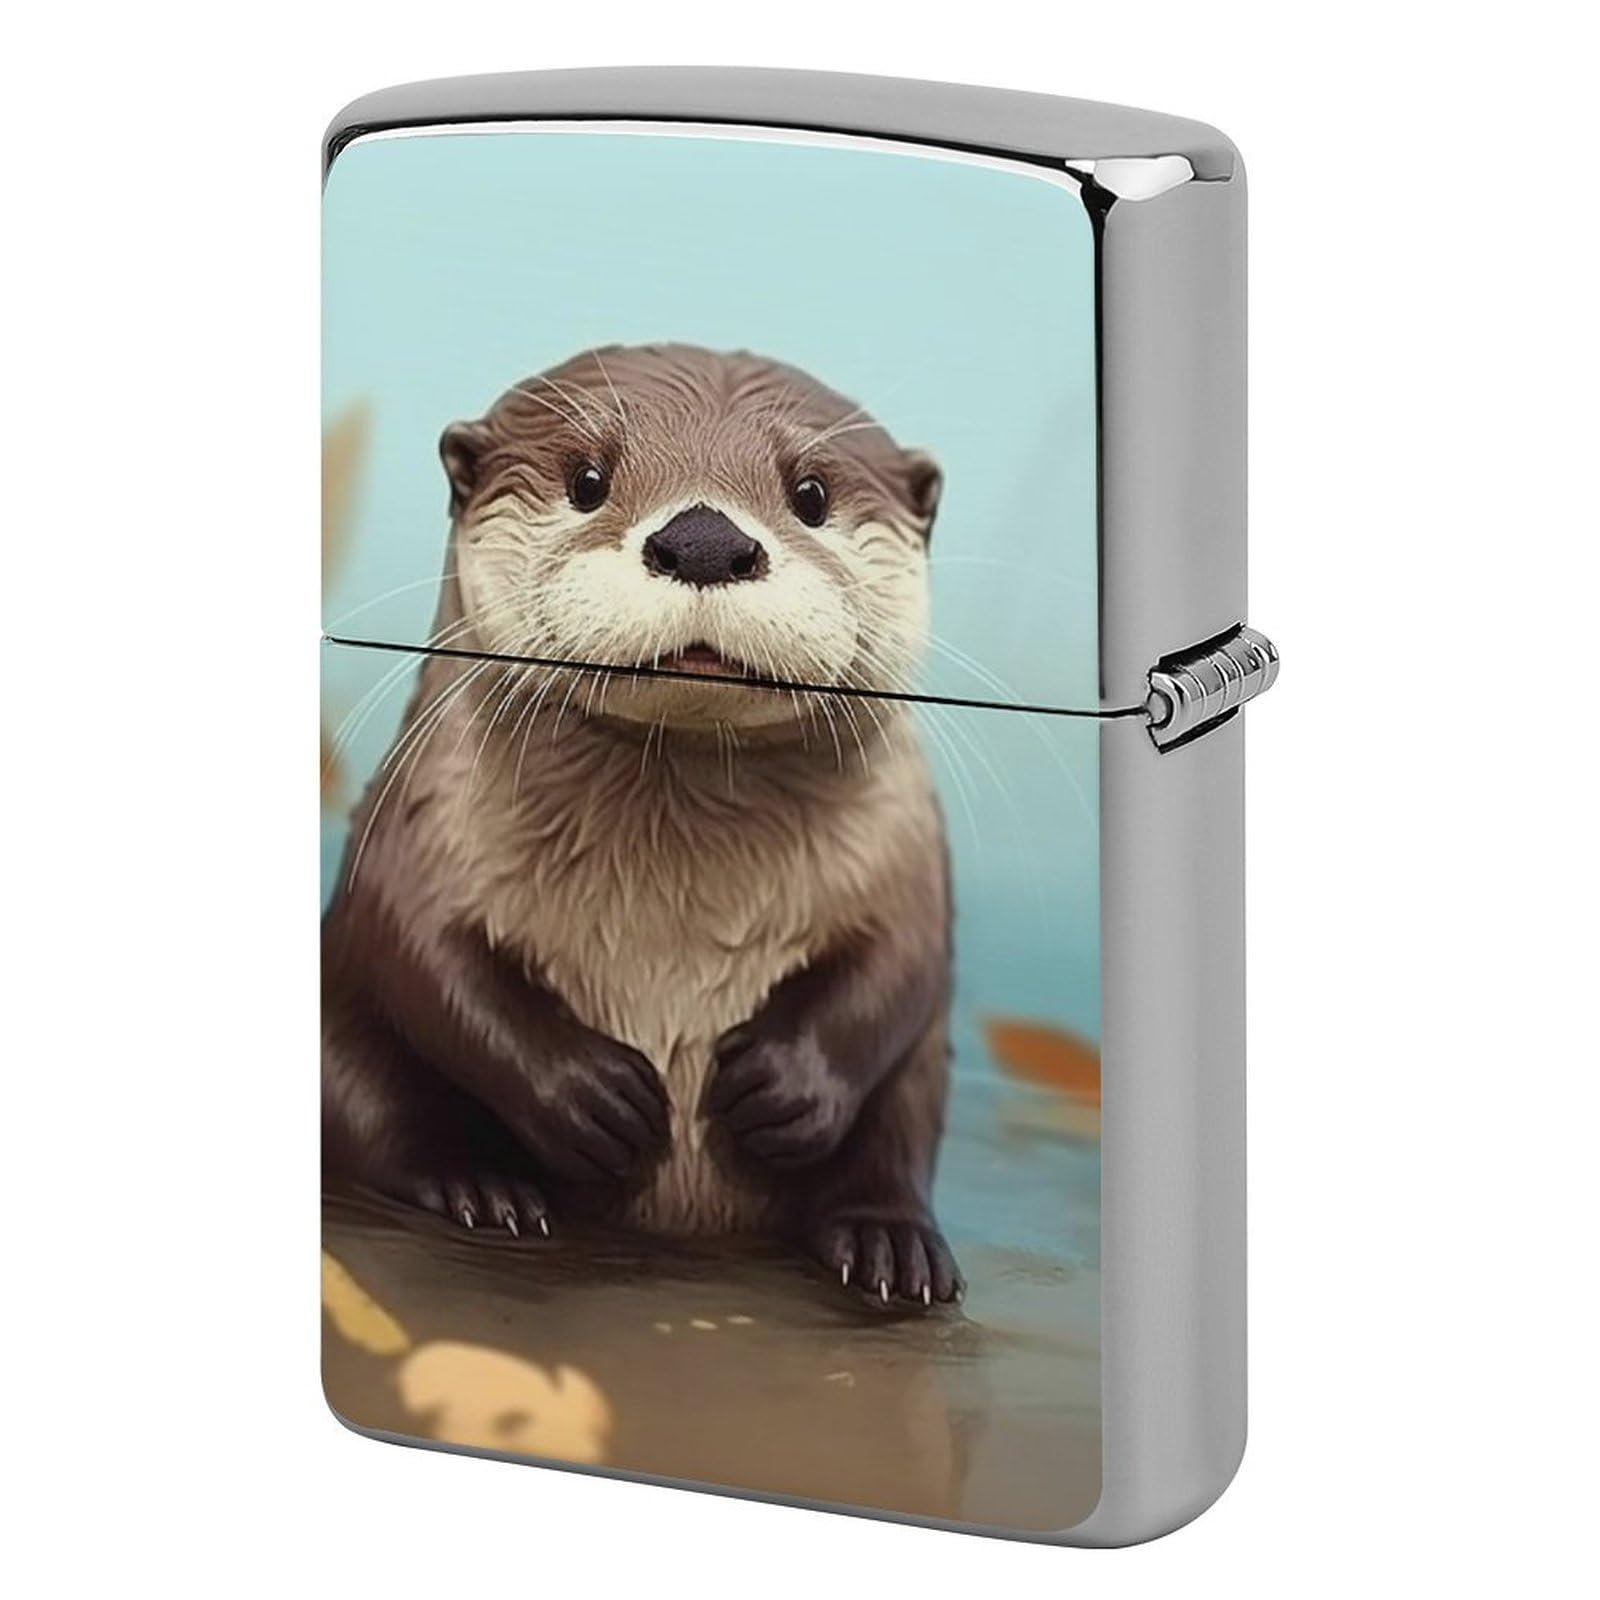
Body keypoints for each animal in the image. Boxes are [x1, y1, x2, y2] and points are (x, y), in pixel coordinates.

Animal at [322, 344, 960, 1307]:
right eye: (588, 480)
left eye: (811, 493)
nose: (704, 541)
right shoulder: (420, 818)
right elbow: (421, 950)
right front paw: (590, 1094)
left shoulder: (908, 847)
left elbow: (904, 964)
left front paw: (782, 1083)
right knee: (379, 1115)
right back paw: (480, 1184)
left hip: (921, 1079)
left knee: (893, 1140)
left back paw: (890, 1243)